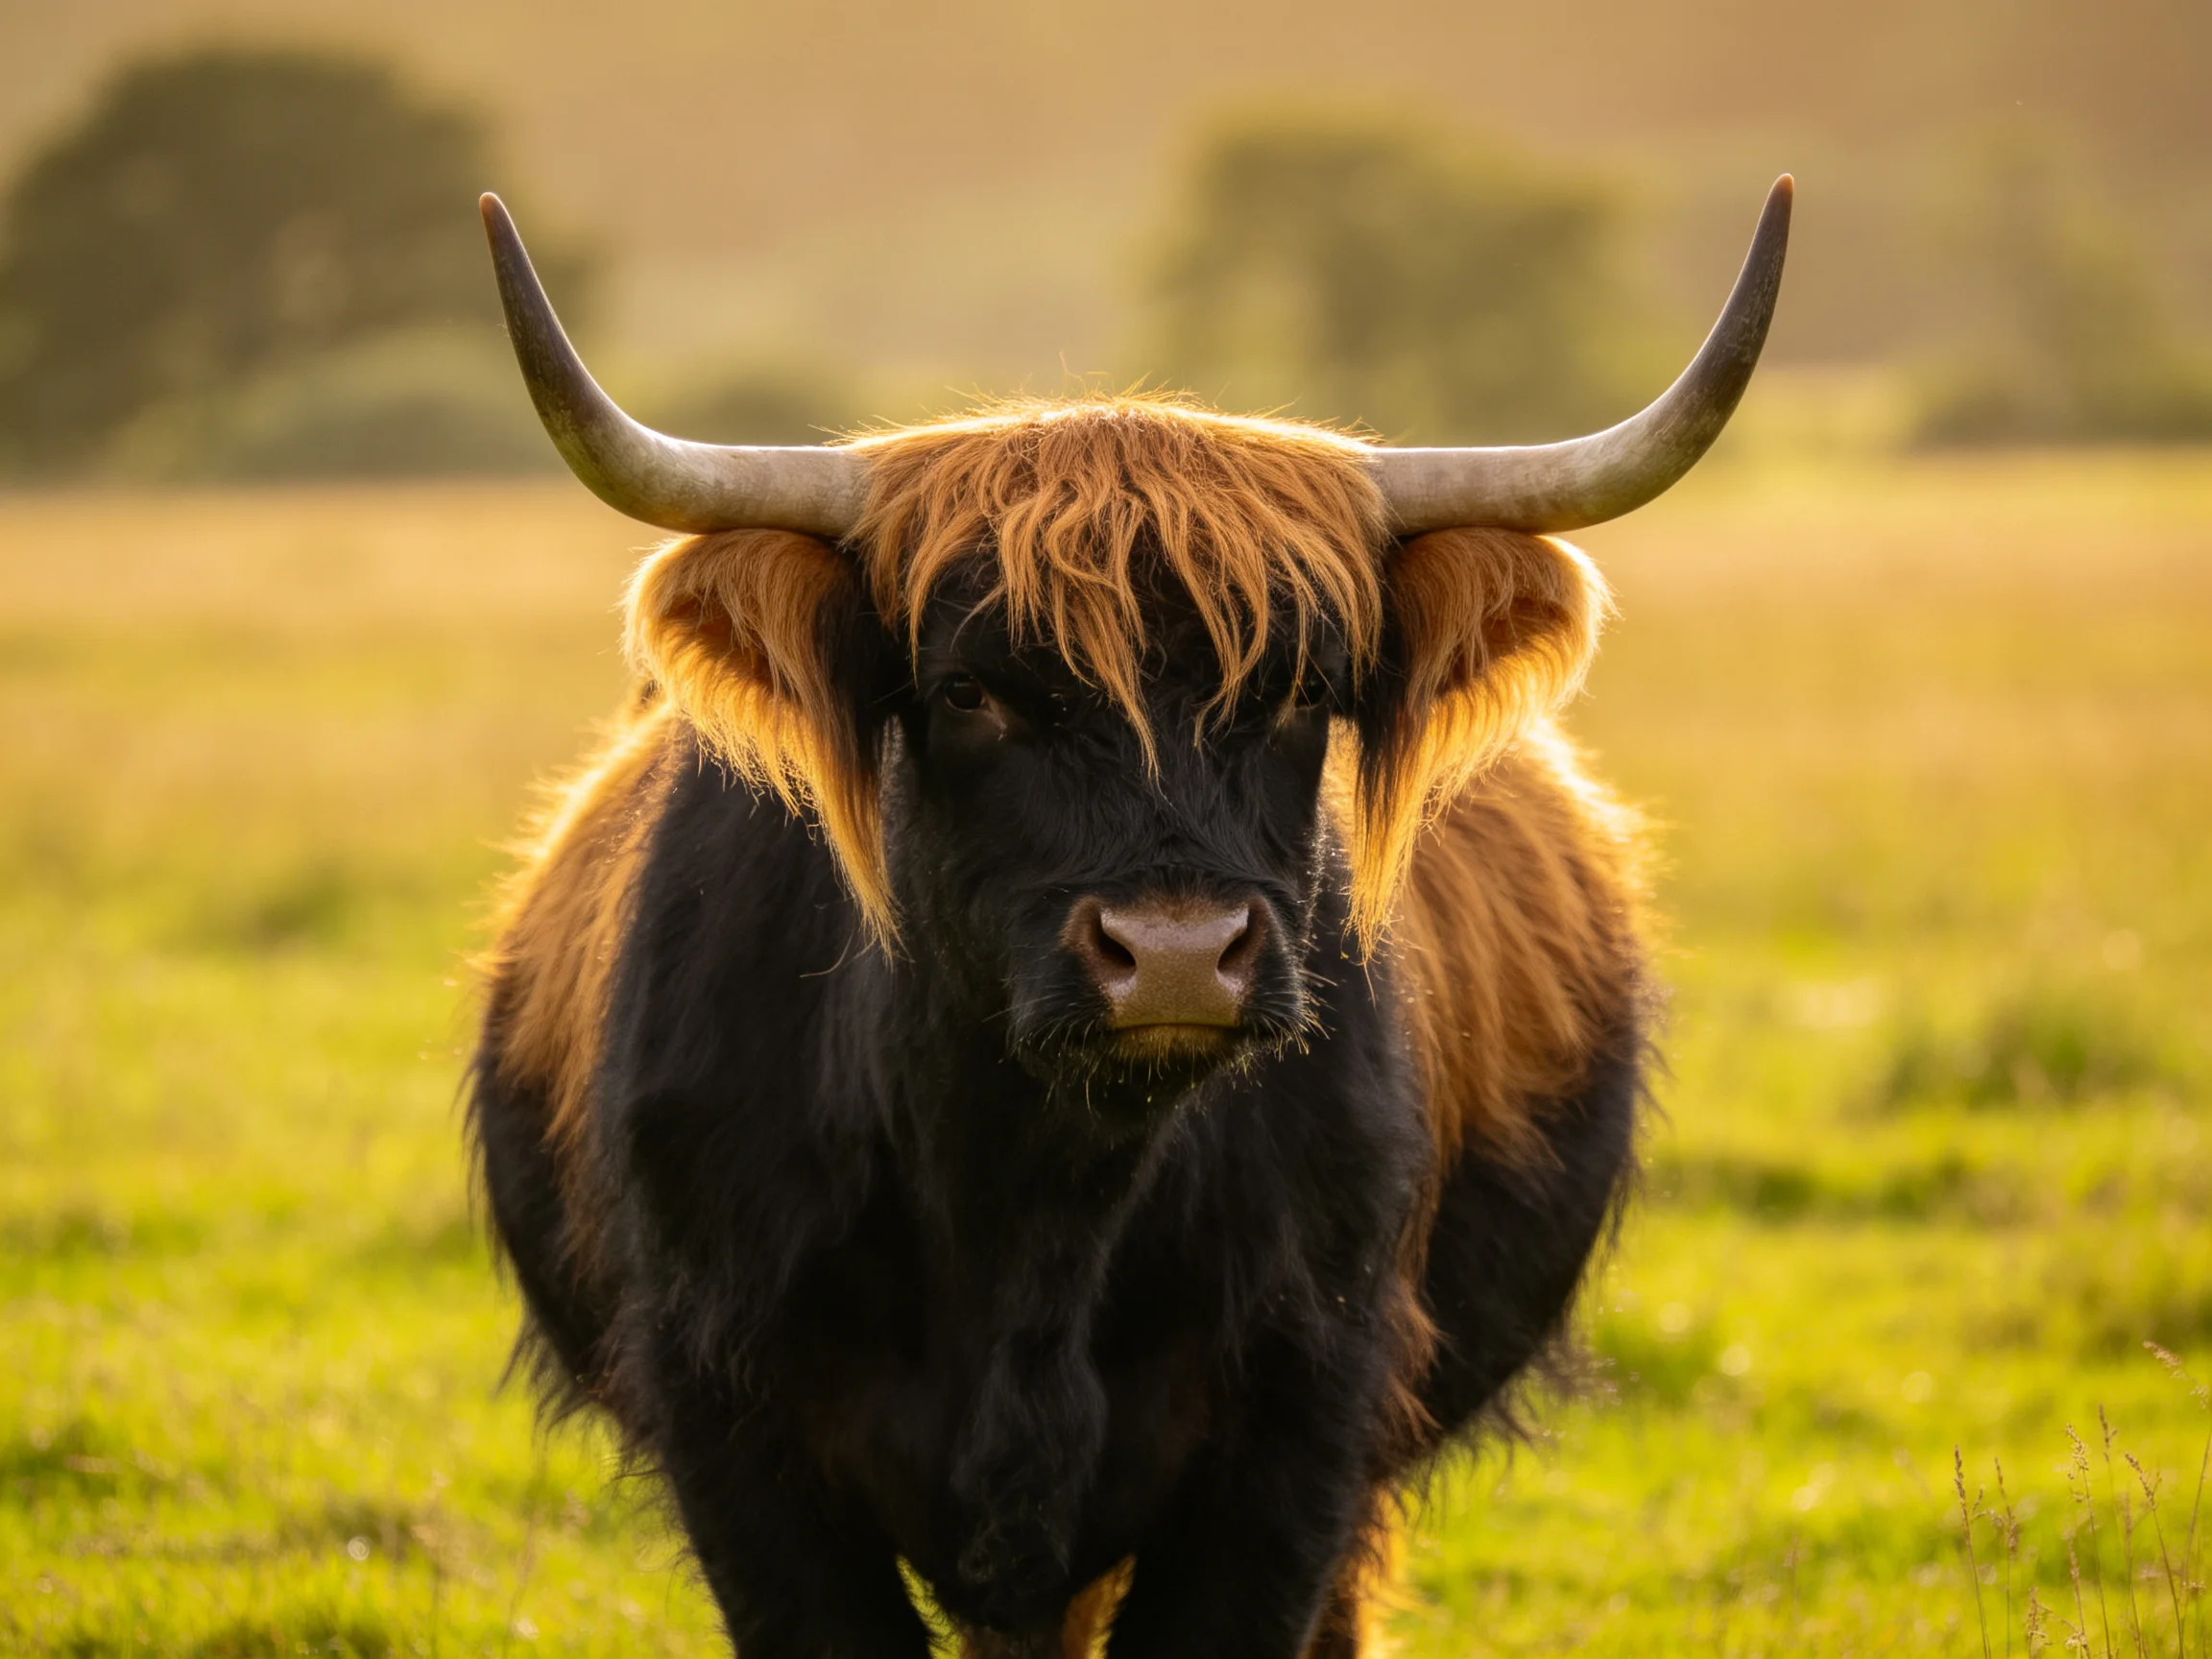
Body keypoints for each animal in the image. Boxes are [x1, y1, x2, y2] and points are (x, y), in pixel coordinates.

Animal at [468, 177, 1790, 1659]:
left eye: (1300, 689)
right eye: (969, 691)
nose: (1174, 955)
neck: (1031, 1203)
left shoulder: (1304, 1417)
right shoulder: (730, 1414)